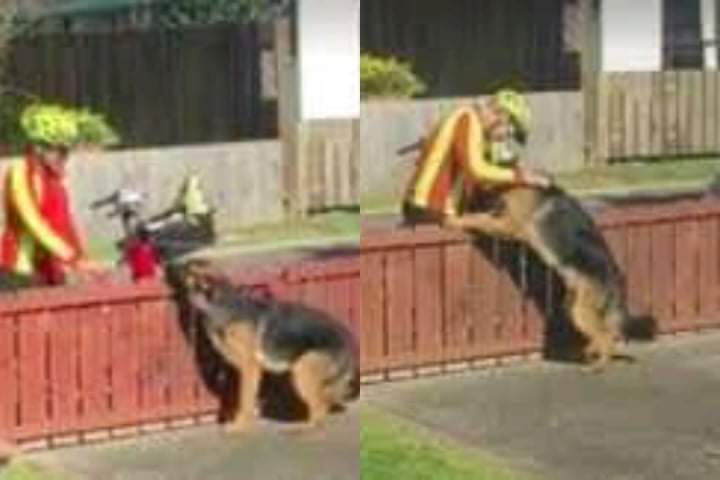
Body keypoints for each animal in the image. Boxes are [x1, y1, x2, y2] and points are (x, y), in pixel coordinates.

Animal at [172, 260, 358, 434]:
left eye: (189, 270)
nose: (173, 265)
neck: (219, 303)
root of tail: (349, 339)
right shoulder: (244, 370)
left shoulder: (250, 367)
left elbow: (245, 400)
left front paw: (240, 426)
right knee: (324, 402)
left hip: (302, 370)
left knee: (320, 407)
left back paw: (304, 428)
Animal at [442, 184, 656, 372]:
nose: (465, 200)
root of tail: (616, 278)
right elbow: (480, 217)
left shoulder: (510, 225)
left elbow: (478, 219)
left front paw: (456, 220)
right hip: (573, 308)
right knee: (607, 333)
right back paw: (590, 352)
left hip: (581, 313)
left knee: (606, 337)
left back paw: (597, 366)